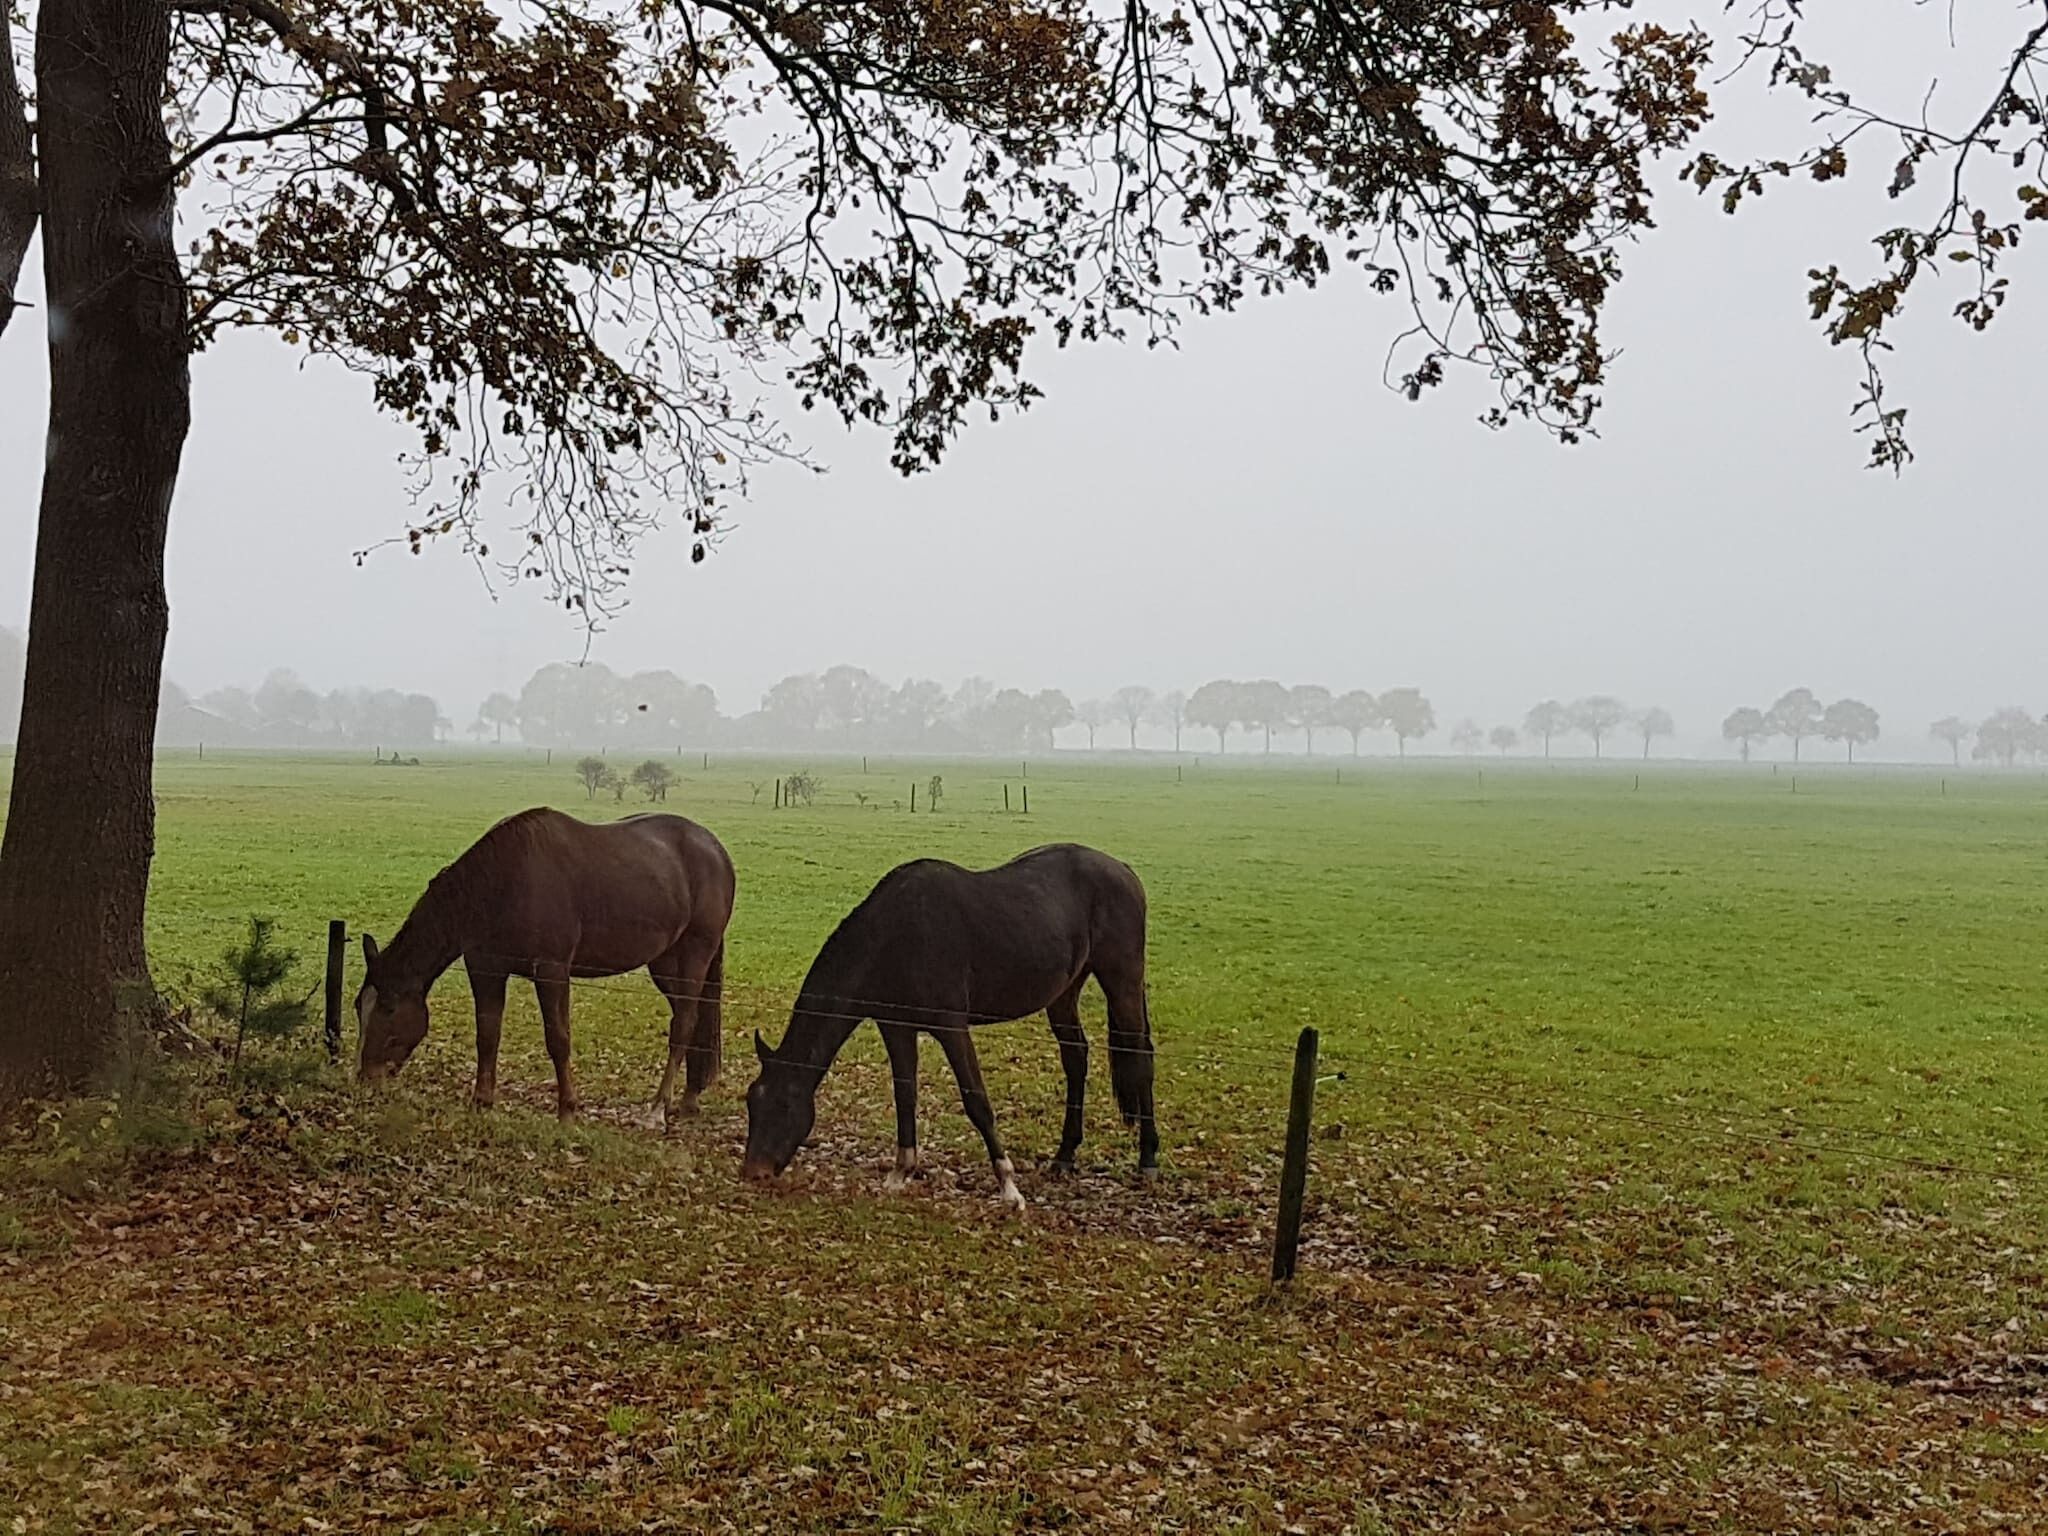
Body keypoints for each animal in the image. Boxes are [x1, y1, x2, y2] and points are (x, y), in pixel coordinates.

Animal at [355, 806, 735, 1127]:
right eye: (359, 1005)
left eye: (389, 1006)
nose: (366, 1078)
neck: (502, 882)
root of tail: (715, 849)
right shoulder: (486, 969)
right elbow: (487, 1034)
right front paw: (481, 1102)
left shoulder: (551, 971)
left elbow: (558, 1038)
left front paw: (567, 1110)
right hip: (666, 964)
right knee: (694, 1021)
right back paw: (688, 1099)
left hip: (695, 954)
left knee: (683, 1025)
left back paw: (657, 1108)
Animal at [740, 843, 1158, 1210]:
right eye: (751, 1101)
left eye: (784, 1103)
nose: (753, 1173)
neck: (896, 934)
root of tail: (1124, 870)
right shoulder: (896, 1027)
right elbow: (905, 1094)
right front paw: (901, 1173)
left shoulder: (952, 1028)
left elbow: (977, 1101)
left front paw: (1009, 1187)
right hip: (1063, 993)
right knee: (1076, 1058)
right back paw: (1065, 1155)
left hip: (1122, 981)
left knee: (1140, 1058)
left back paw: (1148, 1158)